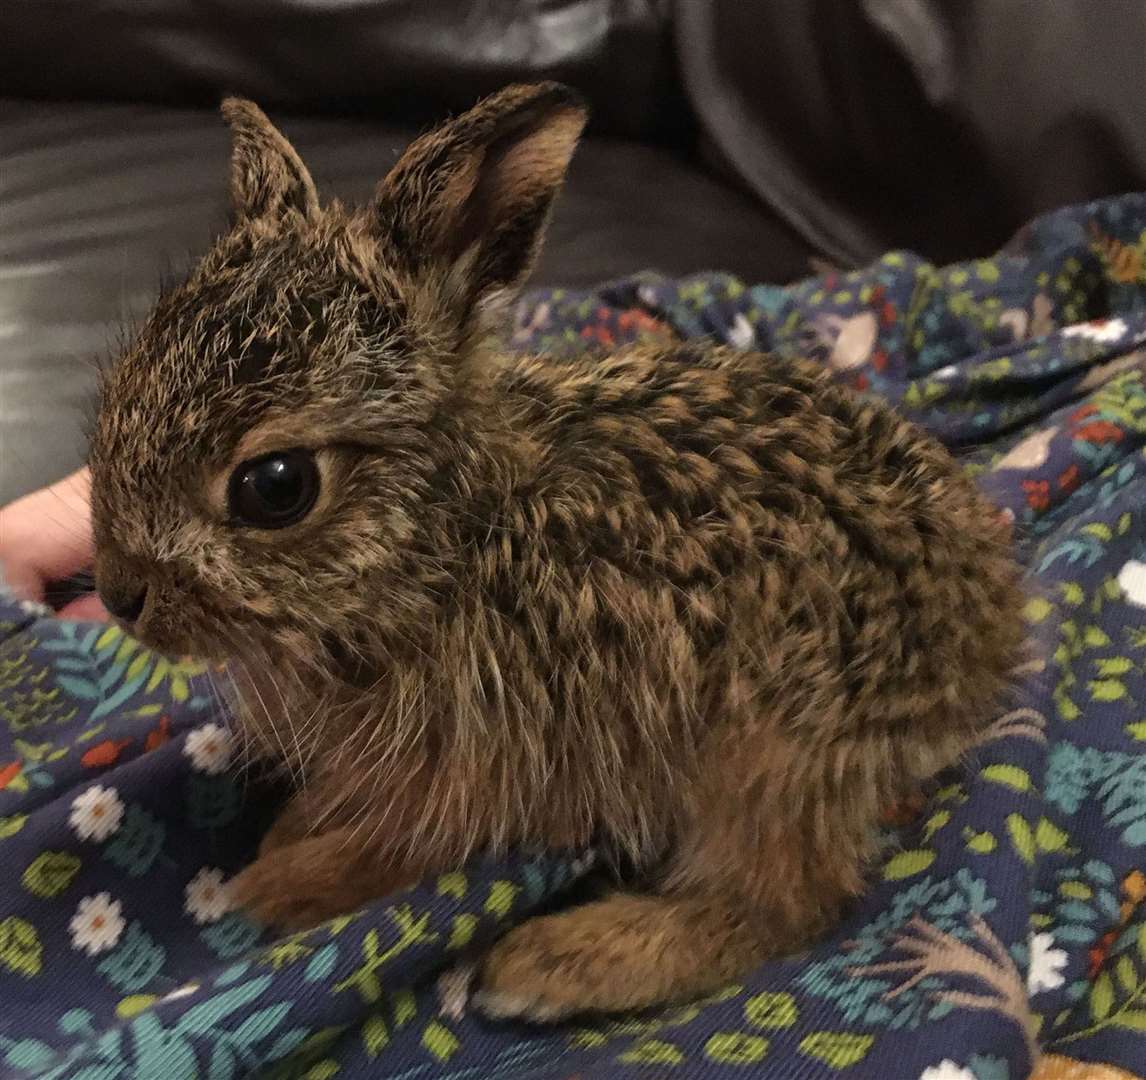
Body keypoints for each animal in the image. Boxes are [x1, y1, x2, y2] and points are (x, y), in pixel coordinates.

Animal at [84, 84, 1026, 1022]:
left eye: (276, 486)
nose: (118, 593)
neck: (452, 542)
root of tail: (983, 640)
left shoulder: (490, 765)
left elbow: (405, 850)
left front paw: (282, 881)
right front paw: (293, 828)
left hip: (771, 748)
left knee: (783, 902)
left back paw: (554, 964)